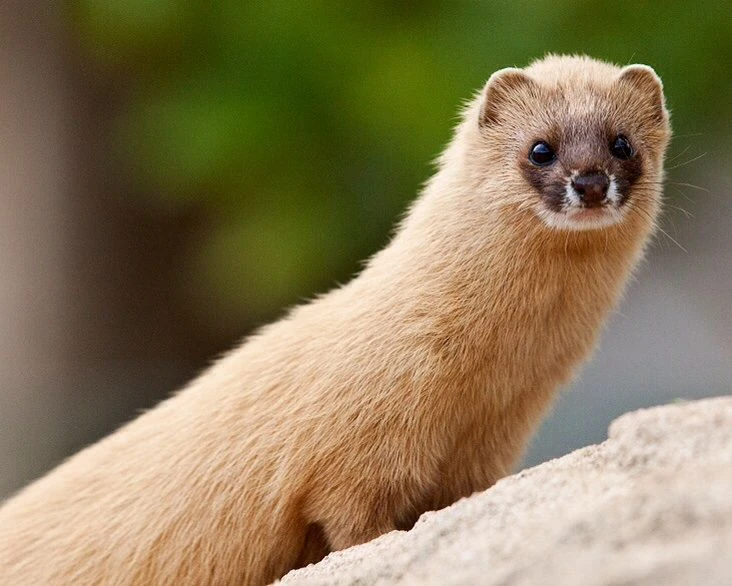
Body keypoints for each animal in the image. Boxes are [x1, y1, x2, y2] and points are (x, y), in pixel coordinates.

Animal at [0, 54, 668, 584]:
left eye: (621, 143)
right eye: (540, 148)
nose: (590, 182)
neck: (487, 382)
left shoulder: (492, 444)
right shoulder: (351, 444)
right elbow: (351, 518)